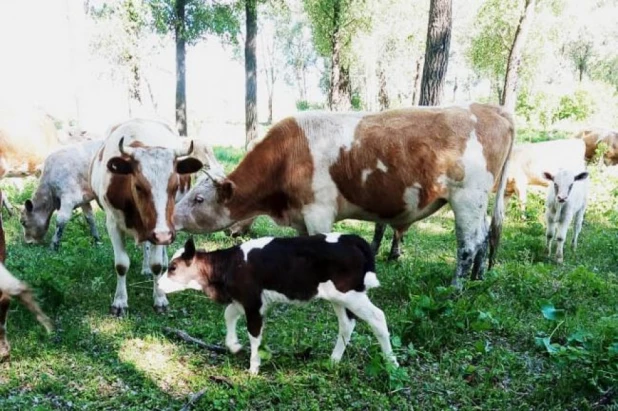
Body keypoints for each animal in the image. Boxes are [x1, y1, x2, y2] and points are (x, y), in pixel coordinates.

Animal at [89, 119, 202, 316]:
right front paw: (120, 302)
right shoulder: (113, 223)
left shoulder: (163, 227)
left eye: (175, 186)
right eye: (139, 186)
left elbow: (156, 264)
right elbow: (121, 264)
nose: (163, 235)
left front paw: (160, 298)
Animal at [156, 233, 398, 374]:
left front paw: (253, 368)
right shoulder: (247, 300)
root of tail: (350, 238)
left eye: (173, 267)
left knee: (378, 318)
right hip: (338, 297)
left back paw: (392, 363)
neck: (227, 266)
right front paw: (233, 345)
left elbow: (254, 334)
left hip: (351, 294)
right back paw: (334, 360)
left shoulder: (252, 302)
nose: (158, 284)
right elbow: (228, 314)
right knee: (347, 324)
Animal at [171, 104, 512, 288]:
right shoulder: (301, 215)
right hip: (479, 202)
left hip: (467, 197)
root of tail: (489, 108)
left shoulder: (318, 211)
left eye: (198, 200)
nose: (170, 218)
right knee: (484, 237)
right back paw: (478, 277)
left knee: (469, 244)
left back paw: (456, 286)